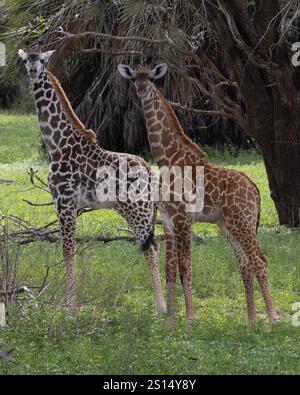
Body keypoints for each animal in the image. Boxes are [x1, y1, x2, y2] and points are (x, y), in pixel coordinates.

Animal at [18, 48, 166, 316]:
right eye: (26, 60)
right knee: (155, 245)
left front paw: (70, 305)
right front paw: (70, 302)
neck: (57, 144)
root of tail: (150, 173)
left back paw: (161, 308)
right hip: (141, 211)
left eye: (42, 60)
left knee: (150, 247)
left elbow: (68, 250)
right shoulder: (66, 204)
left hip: (136, 210)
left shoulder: (65, 202)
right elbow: (71, 249)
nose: (33, 70)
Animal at [118, 61, 278, 328]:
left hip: (243, 222)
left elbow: (185, 267)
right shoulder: (168, 221)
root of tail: (255, 190)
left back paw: (273, 319)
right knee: (245, 262)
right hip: (228, 224)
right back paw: (250, 321)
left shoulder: (183, 219)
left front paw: (190, 320)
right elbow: (170, 270)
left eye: (151, 78)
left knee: (260, 259)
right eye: (133, 79)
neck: (166, 159)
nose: (141, 90)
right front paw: (171, 322)